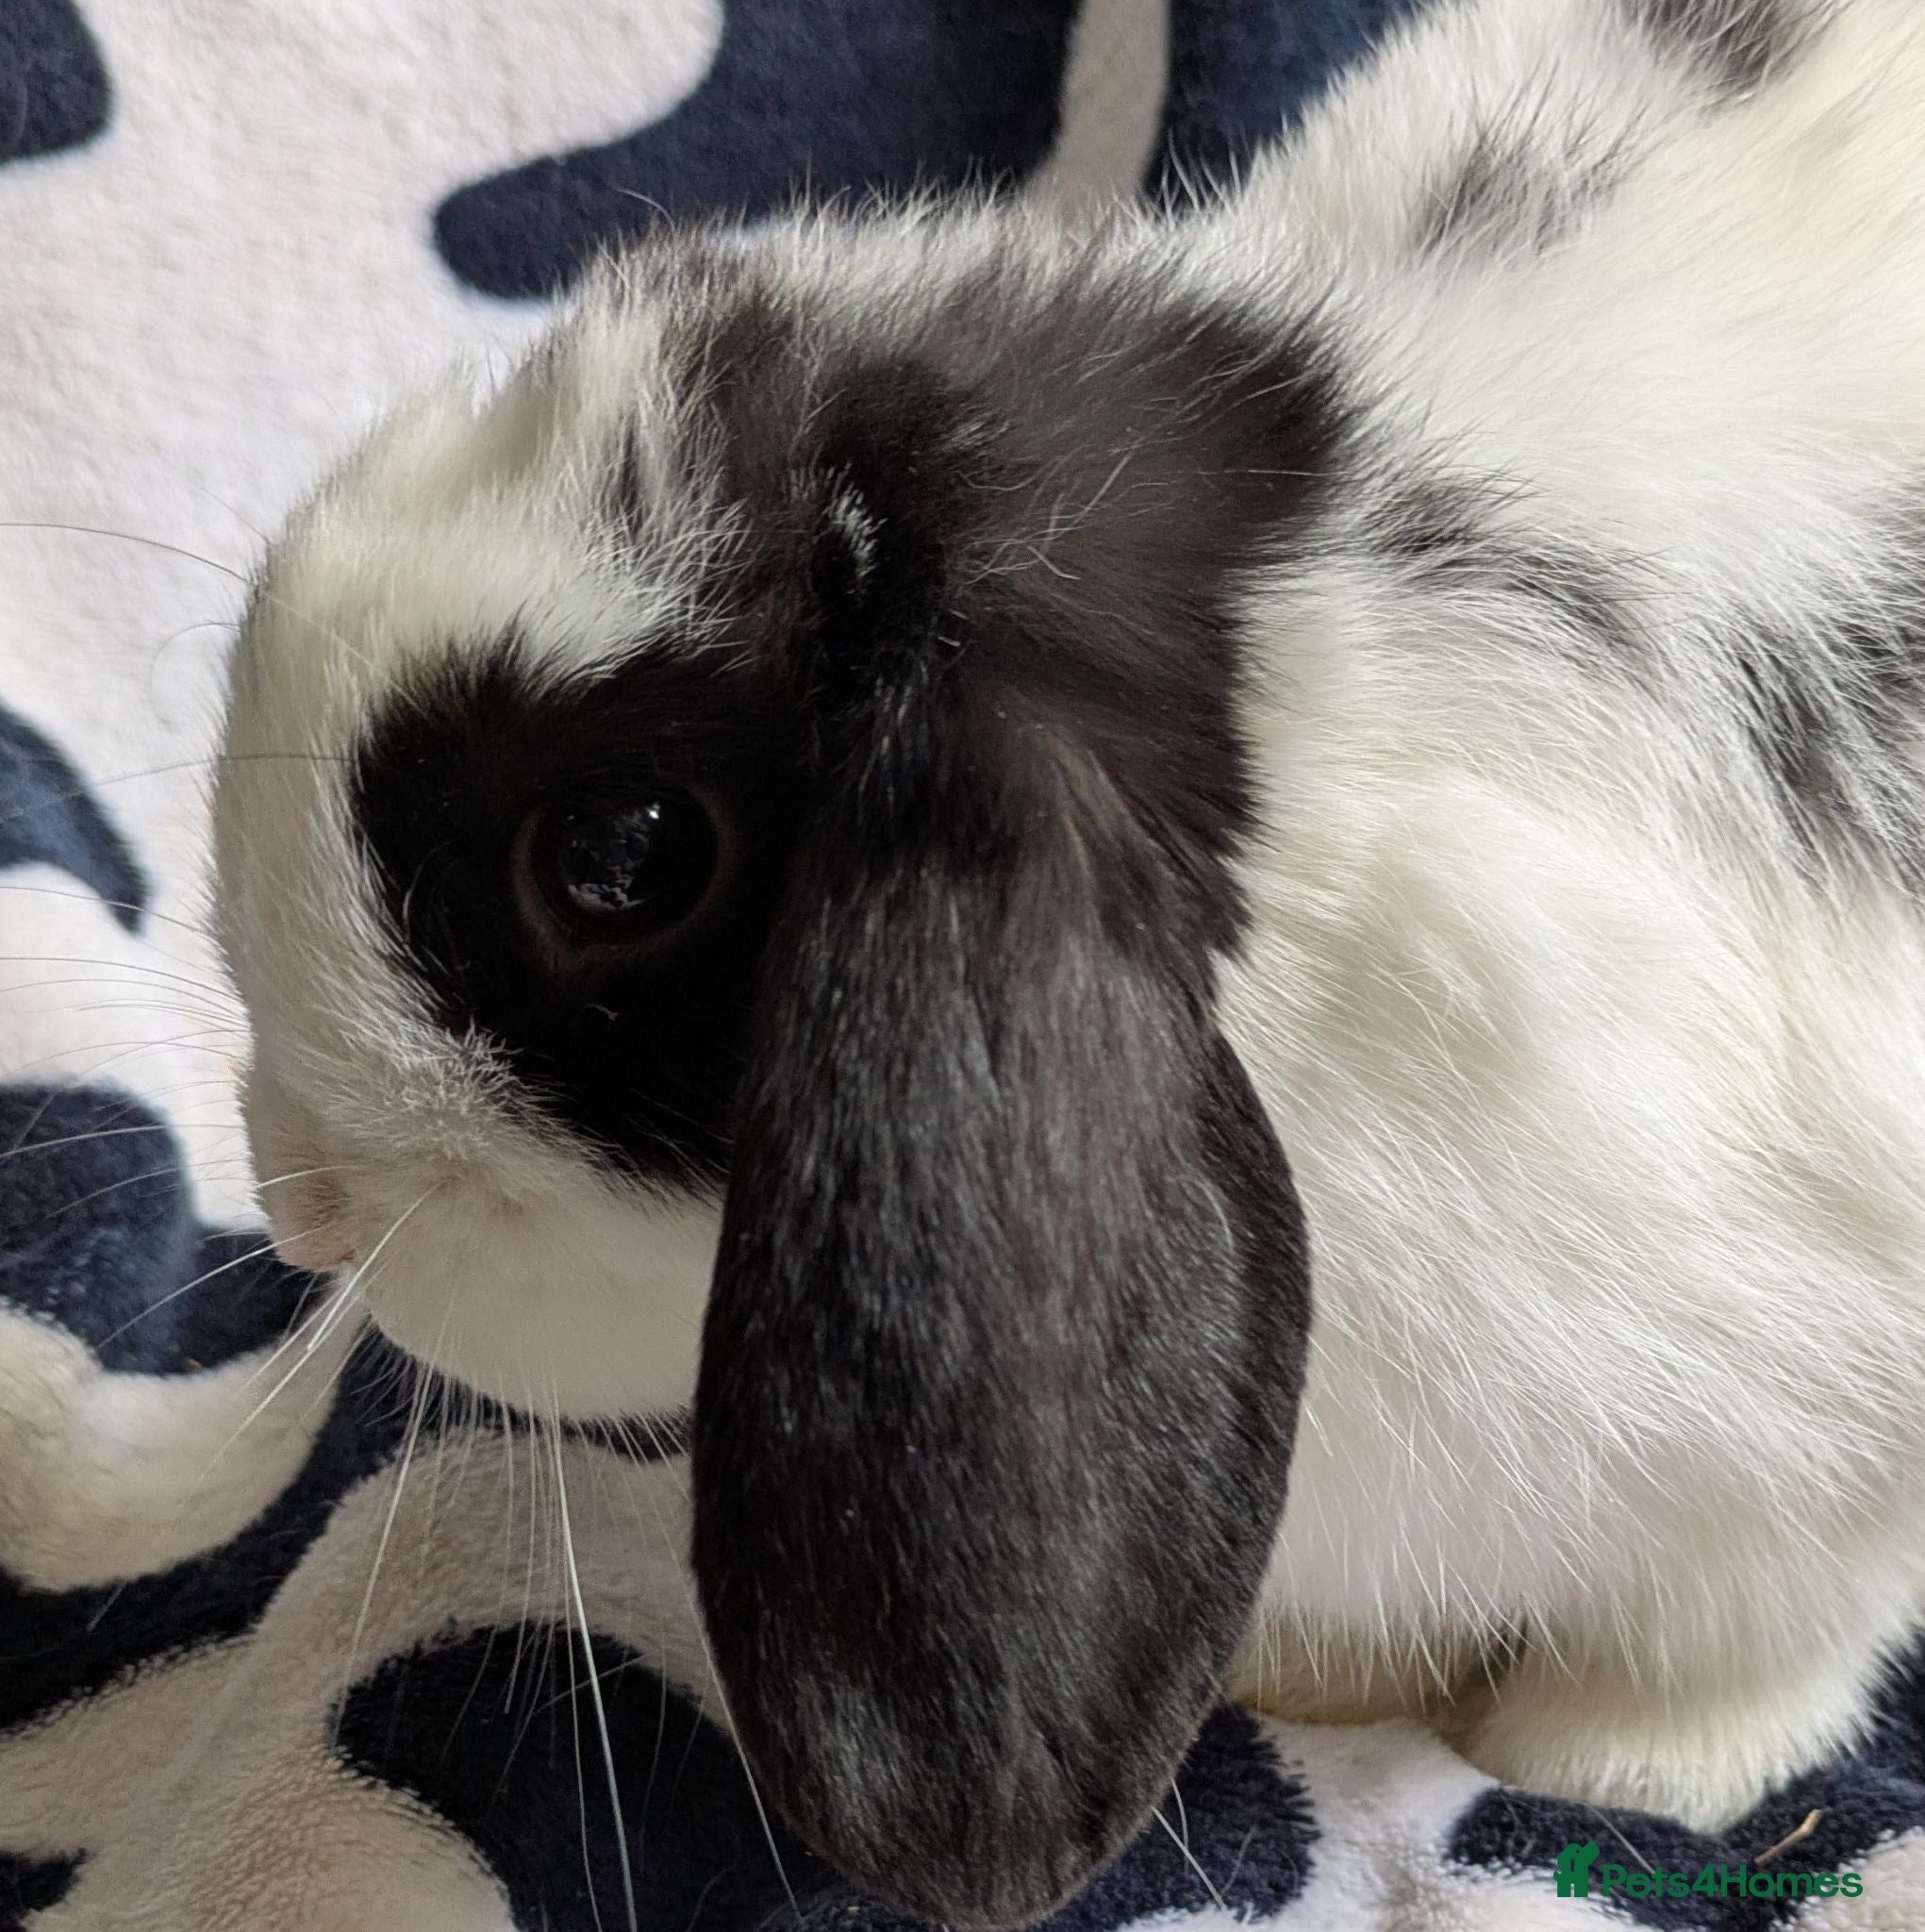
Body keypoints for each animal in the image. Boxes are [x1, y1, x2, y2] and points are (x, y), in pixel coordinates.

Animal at [211, 0, 1925, 1922]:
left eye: (616, 858)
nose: (296, 1196)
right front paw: (1313, 1683)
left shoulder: (1825, 1443)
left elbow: (1752, 1629)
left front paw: (1615, 1761)